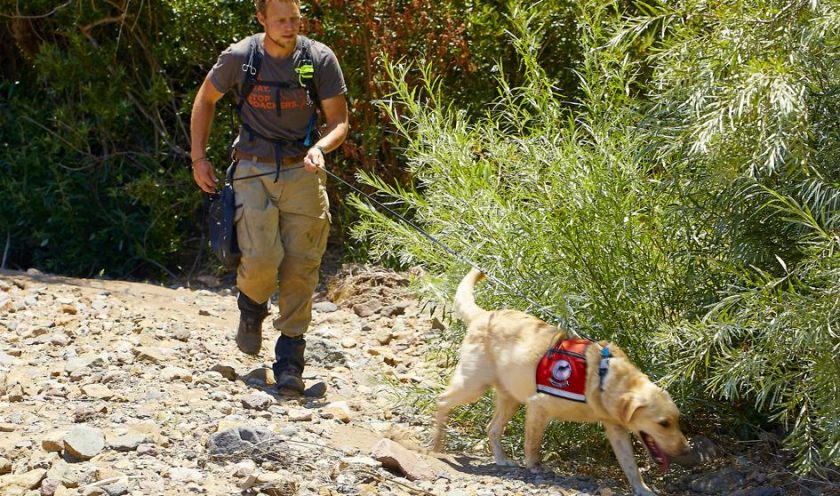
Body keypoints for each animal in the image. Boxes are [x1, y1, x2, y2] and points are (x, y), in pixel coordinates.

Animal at [434, 272, 688, 496]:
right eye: (663, 423)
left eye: (677, 421)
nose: (686, 450)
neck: (604, 376)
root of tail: (484, 315)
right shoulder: (538, 406)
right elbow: (533, 443)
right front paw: (534, 466)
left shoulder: (617, 430)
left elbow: (631, 466)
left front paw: (643, 490)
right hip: (473, 385)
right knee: (442, 401)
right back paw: (436, 445)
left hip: (510, 398)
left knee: (492, 428)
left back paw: (502, 459)